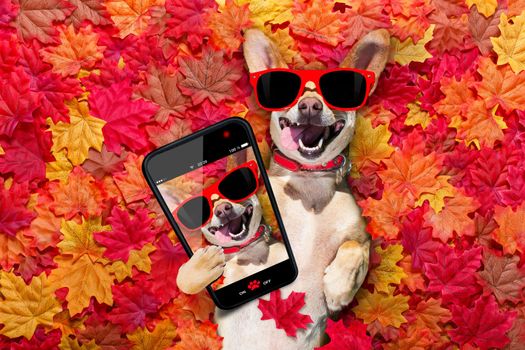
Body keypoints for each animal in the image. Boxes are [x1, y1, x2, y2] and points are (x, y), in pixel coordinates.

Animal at [176, 28, 388, 350]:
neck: (308, 181)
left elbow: (356, 249)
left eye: (335, 92)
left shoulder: (359, 233)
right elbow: (190, 279)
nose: (310, 105)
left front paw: (337, 287)